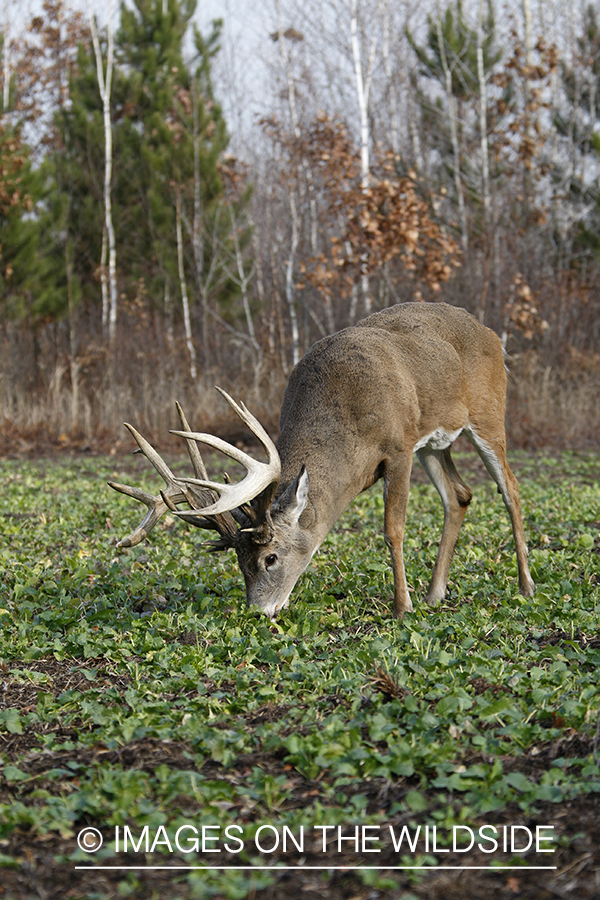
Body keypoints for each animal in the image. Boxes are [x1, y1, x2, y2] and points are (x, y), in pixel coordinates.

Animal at [108, 302, 536, 620]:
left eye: (270, 557)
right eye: (239, 562)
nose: (258, 612)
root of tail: (491, 333)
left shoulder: (399, 448)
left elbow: (393, 529)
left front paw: (402, 607)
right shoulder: (411, 444)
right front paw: (415, 600)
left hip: (488, 414)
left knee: (511, 488)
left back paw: (525, 586)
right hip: (433, 441)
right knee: (459, 495)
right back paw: (436, 593)